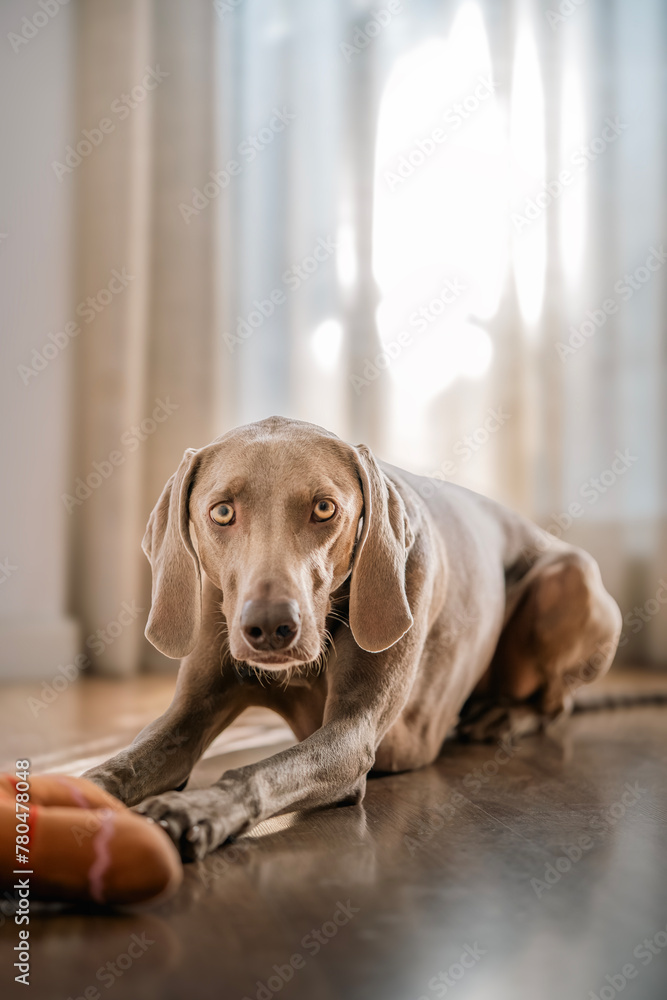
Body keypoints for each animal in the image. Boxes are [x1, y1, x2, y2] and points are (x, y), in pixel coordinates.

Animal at [83, 414, 620, 860]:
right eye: (221, 513)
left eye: (324, 508)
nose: (270, 628)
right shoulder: (188, 714)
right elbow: (127, 763)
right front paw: (81, 790)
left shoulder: (352, 734)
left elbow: (262, 770)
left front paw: (196, 810)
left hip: (567, 575)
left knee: (556, 703)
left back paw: (504, 716)